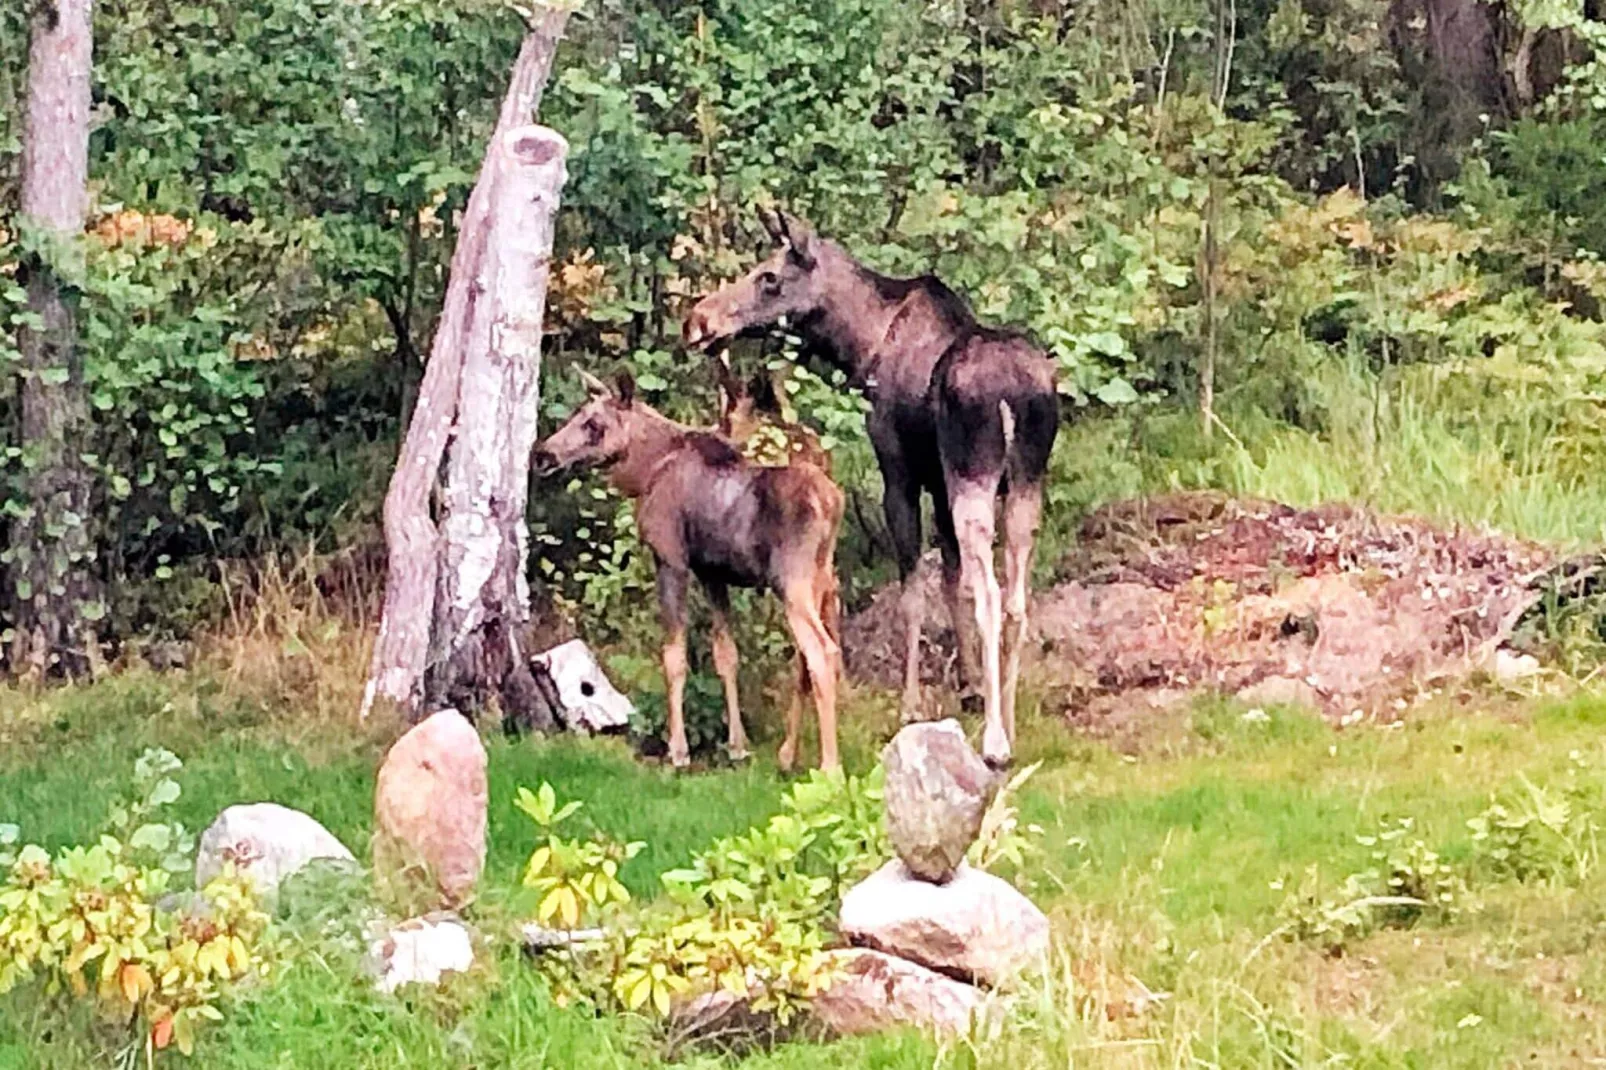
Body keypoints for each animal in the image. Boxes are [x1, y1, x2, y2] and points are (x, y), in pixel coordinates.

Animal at [533, 369, 847, 767]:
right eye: (577, 414)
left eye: (594, 424)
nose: (543, 454)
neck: (645, 471)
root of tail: (833, 503)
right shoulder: (712, 573)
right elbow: (726, 655)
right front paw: (737, 745)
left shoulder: (671, 559)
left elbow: (673, 657)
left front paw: (678, 750)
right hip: (823, 578)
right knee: (806, 660)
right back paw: (787, 754)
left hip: (792, 581)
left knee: (821, 652)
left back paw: (829, 766)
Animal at [677, 208, 1053, 761]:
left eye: (769, 277)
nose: (698, 320)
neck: (858, 347)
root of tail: (1016, 394)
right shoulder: (938, 482)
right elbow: (948, 580)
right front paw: (967, 687)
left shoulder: (898, 472)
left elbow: (913, 590)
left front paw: (911, 704)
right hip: (1026, 481)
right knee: (1017, 600)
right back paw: (1007, 720)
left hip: (976, 476)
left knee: (990, 592)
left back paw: (995, 741)